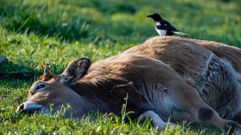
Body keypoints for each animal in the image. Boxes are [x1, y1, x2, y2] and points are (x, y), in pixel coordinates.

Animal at [17, 36, 241, 134]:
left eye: (40, 86)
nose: (21, 107)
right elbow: (148, 116)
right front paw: (170, 126)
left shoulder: (175, 83)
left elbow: (205, 112)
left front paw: (231, 127)